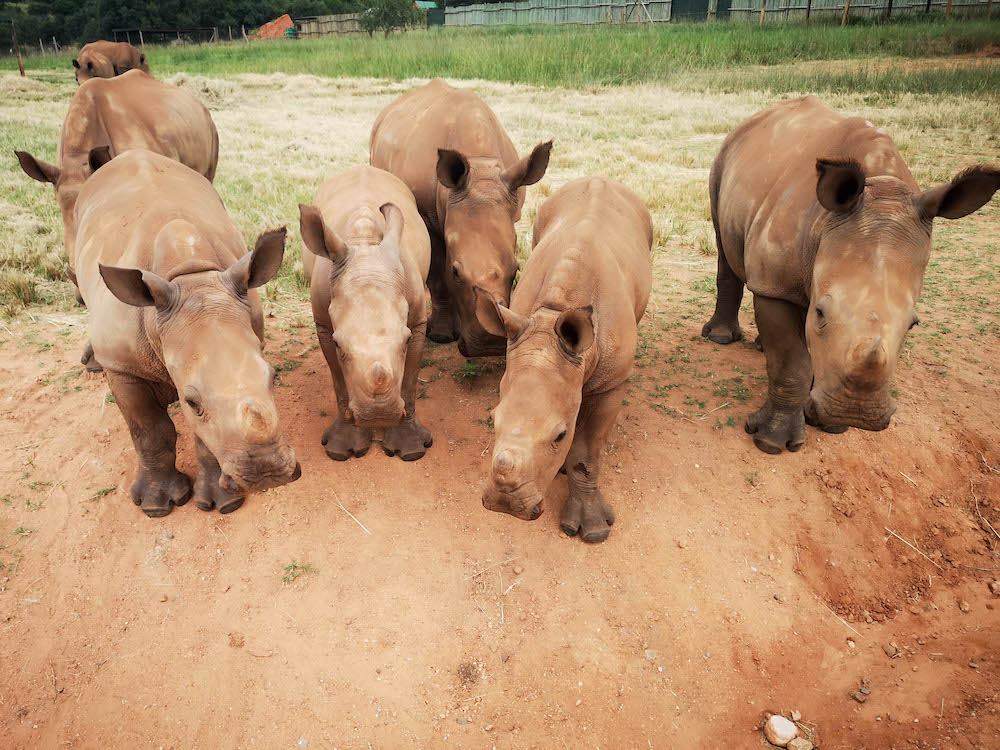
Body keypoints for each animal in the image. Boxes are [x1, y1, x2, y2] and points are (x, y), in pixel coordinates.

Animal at [76, 151, 298, 520]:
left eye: (274, 378)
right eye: (192, 402)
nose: (269, 475)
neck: (189, 276)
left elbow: (207, 438)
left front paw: (223, 503)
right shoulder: (122, 364)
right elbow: (148, 430)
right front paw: (155, 506)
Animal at [300, 169, 434, 464]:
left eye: (406, 341)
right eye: (338, 345)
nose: (378, 415)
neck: (365, 246)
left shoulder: (418, 320)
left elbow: (409, 381)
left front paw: (411, 449)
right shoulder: (323, 322)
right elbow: (339, 381)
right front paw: (341, 448)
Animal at [370, 78, 552, 360]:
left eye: (516, 272)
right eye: (456, 273)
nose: (489, 346)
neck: (480, 166)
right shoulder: (426, 217)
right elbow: (437, 273)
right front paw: (441, 336)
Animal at [474, 179, 652, 544]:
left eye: (560, 435)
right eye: (492, 420)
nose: (505, 505)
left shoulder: (613, 380)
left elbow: (587, 452)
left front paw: (593, 530)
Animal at [704, 97, 1000, 456]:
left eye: (912, 325)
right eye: (820, 313)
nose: (857, 413)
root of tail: (758, 118)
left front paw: (831, 425)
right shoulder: (774, 285)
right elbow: (791, 362)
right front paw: (770, 442)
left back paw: (762, 347)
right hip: (724, 160)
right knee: (723, 241)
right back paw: (720, 338)